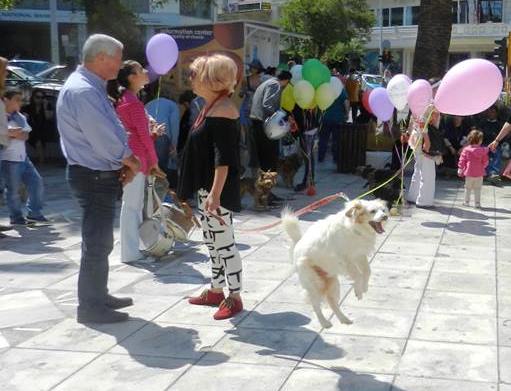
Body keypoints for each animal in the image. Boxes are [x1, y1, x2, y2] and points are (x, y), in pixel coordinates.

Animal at [284, 201, 388, 330]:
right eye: (372, 211)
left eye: (383, 210)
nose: (385, 217)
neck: (355, 228)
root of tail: (297, 247)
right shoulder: (345, 259)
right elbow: (358, 275)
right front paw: (358, 291)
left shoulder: (359, 255)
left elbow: (367, 271)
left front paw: (364, 288)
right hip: (315, 285)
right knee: (316, 305)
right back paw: (324, 323)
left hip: (333, 283)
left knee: (332, 303)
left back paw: (344, 319)